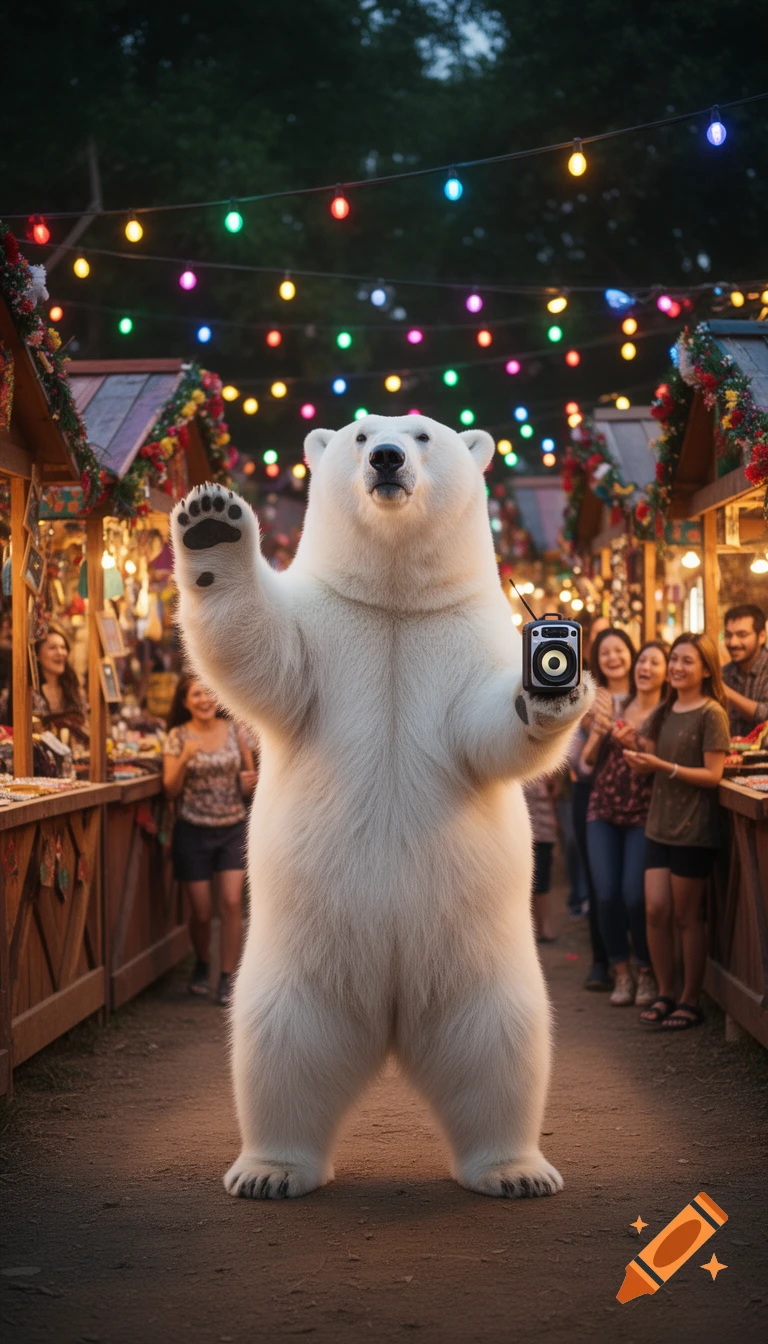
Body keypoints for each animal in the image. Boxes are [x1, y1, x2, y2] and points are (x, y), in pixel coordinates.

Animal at [170, 414, 593, 1202]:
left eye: (423, 435)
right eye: (362, 434)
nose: (389, 458)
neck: (396, 608)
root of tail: (392, 1019)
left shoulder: (465, 636)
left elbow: (484, 733)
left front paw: (551, 689)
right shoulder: (328, 631)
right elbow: (262, 655)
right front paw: (211, 523)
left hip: (478, 963)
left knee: (501, 1044)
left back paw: (514, 1169)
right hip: (300, 963)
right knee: (280, 1043)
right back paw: (271, 1169)